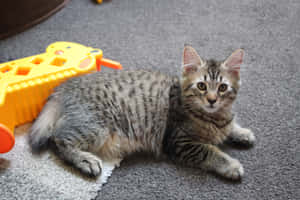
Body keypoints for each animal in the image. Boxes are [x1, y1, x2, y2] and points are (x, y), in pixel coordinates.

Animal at [29, 45, 255, 180]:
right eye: (201, 86)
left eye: (222, 88)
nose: (212, 100)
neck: (212, 116)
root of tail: (65, 84)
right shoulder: (180, 142)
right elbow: (211, 151)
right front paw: (232, 165)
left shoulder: (223, 120)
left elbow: (231, 125)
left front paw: (242, 133)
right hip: (95, 126)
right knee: (58, 138)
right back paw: (86, 161)